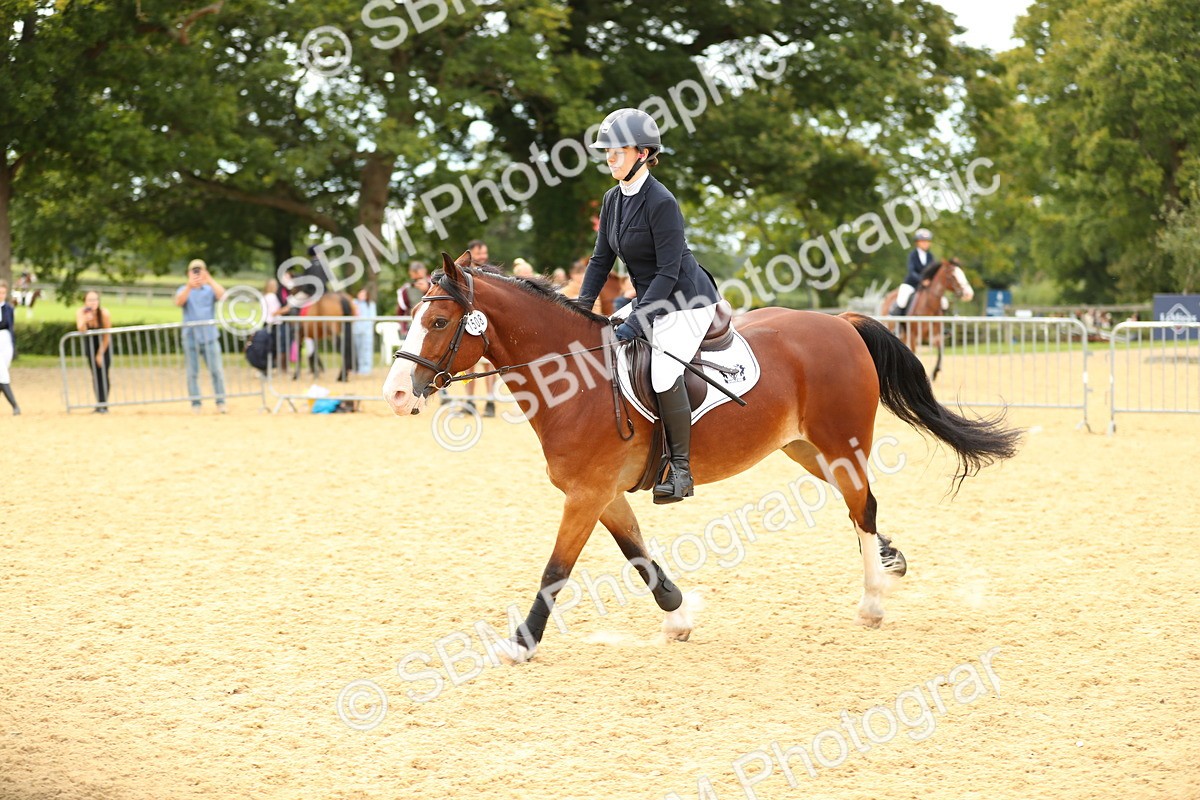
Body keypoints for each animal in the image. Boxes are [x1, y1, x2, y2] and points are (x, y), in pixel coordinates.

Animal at [384, 253, 1020, 662]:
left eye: (437, 320)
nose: (393, 395)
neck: (576, 378)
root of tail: (840, 322)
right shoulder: (603, 495)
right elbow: (639, 557)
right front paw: (679, 616)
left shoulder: (586, 495)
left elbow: (555, 571)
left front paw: (520, 644)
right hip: (805, 449)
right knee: (860, 503)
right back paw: (891, 563)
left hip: (841, 442)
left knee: (861, 507)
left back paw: (871, 604)